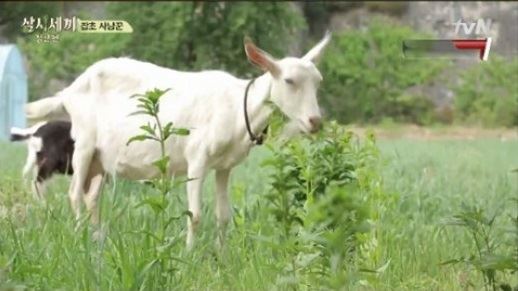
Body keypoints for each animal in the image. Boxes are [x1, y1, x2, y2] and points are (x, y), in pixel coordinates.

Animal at [24, 34, 332, 249]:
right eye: (289, 81)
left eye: (318, 81)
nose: (315, 122)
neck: (237, 107)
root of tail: (68, 92)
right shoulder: (197, 158)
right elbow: (194, 214)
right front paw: (189, 255)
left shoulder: (224, 166)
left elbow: (223, 215)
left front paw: (222, 256)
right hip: (85, 144)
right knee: (74, 194)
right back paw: (81, 239)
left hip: (102, 159)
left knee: (91, 197)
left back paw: (99, 241)